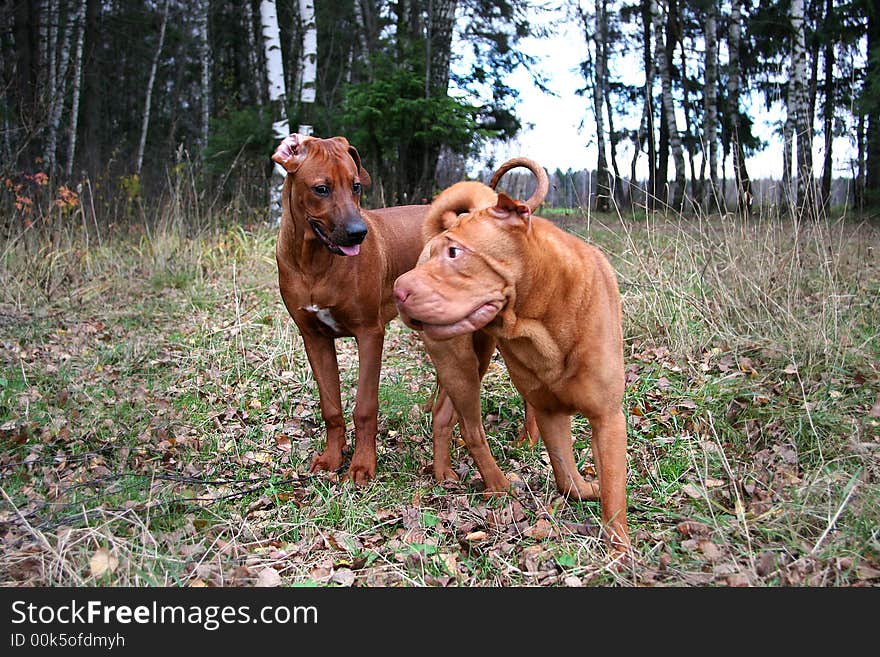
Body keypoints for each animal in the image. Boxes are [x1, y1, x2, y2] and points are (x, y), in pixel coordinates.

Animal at [394, 169, 632, 548]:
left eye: (454, 252)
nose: (397, 291)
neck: (543, 314)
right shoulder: (552, 414)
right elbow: (568, 476)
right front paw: (619, 552)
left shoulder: (606, 418)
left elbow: (599, 488)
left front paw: (617, 540)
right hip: (461, 368)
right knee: (471, 429)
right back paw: (498, 485)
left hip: (465, 361)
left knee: (443, 414)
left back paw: (444, 473)